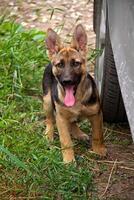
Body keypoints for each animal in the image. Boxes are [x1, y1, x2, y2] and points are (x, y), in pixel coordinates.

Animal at [42, 24, 106, 163]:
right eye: (60, 65)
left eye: (76, 63)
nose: (67, 81)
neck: (77, 99)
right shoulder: (60, 118)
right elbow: (66, 140)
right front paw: (69, 160)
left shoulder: (96, 114)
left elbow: (98, 135)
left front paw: (98, 150)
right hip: (47, 101)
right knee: (49, 120)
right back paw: (48, 135)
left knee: (72, 122)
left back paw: (79, 134)